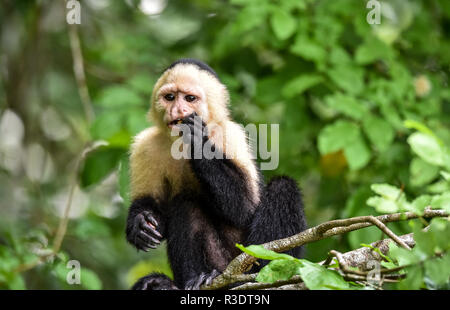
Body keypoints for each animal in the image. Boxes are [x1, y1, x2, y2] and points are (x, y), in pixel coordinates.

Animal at [125, 58, 306, 290]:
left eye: (190, 98)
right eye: (170, 97)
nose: (178, 109)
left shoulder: (229, 134)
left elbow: (244, 208)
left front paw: (197, 141)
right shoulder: (145, 146)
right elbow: (150, 203)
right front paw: (141, 223)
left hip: (237, 257)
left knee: (283, 187)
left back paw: (256, 276)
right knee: (186, 203)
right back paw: (187, 280)